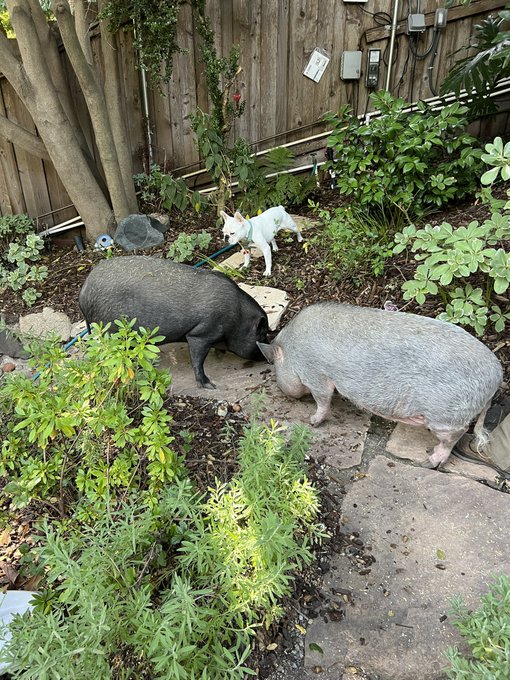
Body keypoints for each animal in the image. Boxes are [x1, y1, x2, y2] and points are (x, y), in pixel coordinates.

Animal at [78, 256, 269, 388]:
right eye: (263, 334)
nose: (267, 358)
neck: (238, 319)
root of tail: (83, 292)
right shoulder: (201, 333)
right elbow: (198, 359)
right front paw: (210, 385)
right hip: (111, 331)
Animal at [257, 302, 503, 467]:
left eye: (274, 366)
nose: (281, 389)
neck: (291, 351)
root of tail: (497, 376)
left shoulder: (316, 374)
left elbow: (323, 400)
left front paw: (312, 421)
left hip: (445, 417)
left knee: (456, 434)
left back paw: (431, 459)